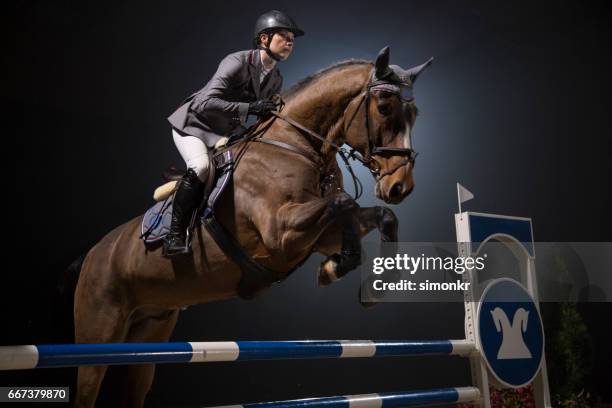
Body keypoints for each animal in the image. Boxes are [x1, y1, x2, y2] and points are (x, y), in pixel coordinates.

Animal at [71, 46, 432, 406]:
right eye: (384, 108)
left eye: (415, 114)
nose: (401, 187)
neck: (296, 144)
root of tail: (91, 255)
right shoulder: (280, 234)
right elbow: (344, 204)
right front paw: (335, 268)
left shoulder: (319, 236)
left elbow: (381, 216)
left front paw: (360, 279)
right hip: (99, 332)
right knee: (88, 383)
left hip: (149, 336)